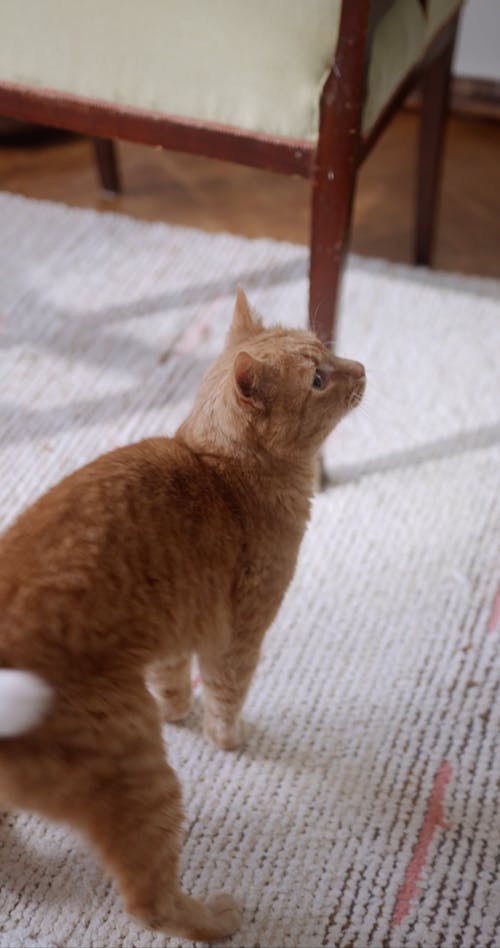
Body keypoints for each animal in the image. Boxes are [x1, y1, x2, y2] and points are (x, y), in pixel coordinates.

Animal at [0, 288, 366, 940]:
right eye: (319, 379)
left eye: (329, 353)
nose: (363, 369)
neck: (216, 466)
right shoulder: (238, 635)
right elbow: (226, 696)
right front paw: (229, 739)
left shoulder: (173, 630)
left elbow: (173, 681)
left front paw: (179, 713)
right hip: (141, 772)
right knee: (150, 903)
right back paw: (219, 918)